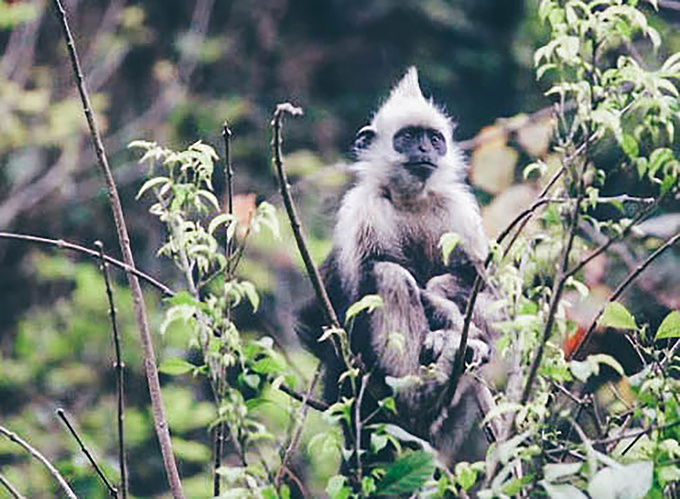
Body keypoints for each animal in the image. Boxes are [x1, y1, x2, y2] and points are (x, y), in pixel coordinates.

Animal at [298, 66, 500, 468]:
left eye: (434, 140)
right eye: (408, 138)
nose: (424, 150)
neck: (411, 201)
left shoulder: (460, 210)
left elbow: (488, 292)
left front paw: (451, 321)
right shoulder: (363, 209)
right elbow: (347, 293)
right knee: (388, 275)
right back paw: (415, 399)